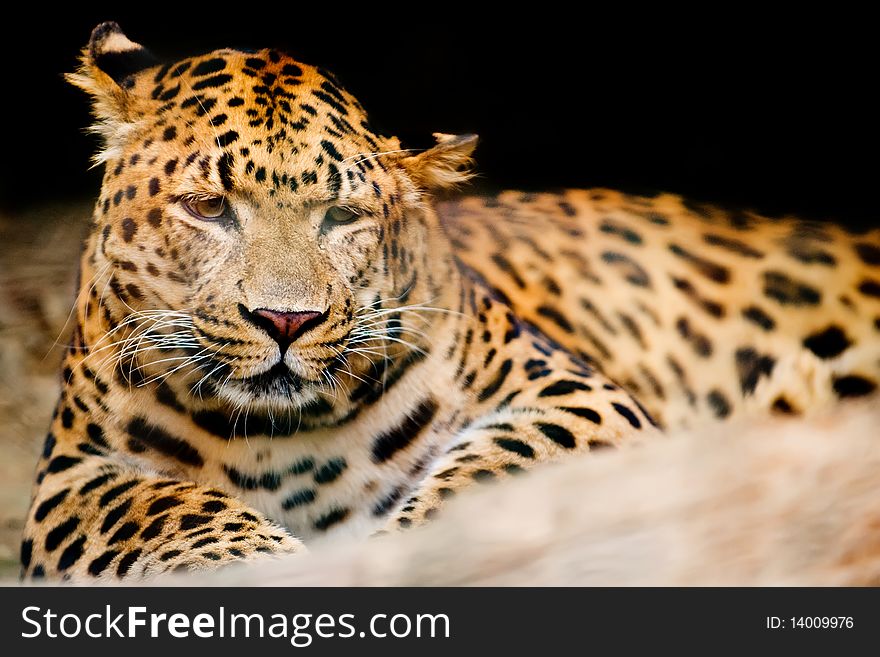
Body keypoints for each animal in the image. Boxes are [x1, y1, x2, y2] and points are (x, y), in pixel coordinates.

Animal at [17, 23, 876, 580]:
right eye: (207, 207)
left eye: (343, 217)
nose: (287, 321)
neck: (271, 438)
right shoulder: (73, 474)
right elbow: (163, 509)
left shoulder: (574, 390)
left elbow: (498, 467)